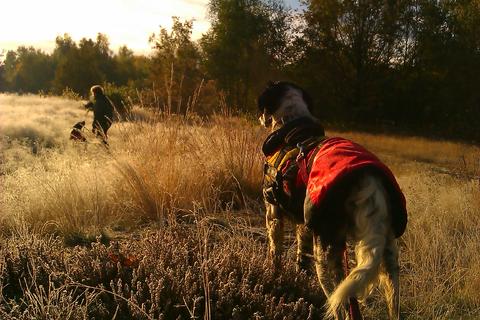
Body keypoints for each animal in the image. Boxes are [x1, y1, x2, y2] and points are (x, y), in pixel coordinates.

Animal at [256, 82, 406, 320]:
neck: (291, 123)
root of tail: (369, 179)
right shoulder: (304, 225)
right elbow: (301, 256)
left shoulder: (273, 215)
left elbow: (275, 253)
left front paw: (274, 274)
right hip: (389, 259)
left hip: (327, 257)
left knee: (341, 307)